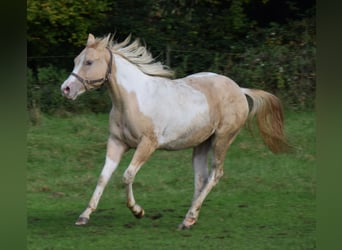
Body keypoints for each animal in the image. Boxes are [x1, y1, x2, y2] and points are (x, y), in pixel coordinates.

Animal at [60, 33, 288, 230]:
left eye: (89, 62)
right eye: (76, 60)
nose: (66, 89)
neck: (132, 100)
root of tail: (239, 90)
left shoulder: (147, 144)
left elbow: (127, 175)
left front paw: (137, 211)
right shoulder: (116, 142)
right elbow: (103, 177)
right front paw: (84, 216)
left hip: (222, 139)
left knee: (215, 174)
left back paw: (188, 218)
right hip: (201, 144)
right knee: (201, 178)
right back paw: (190, 218)